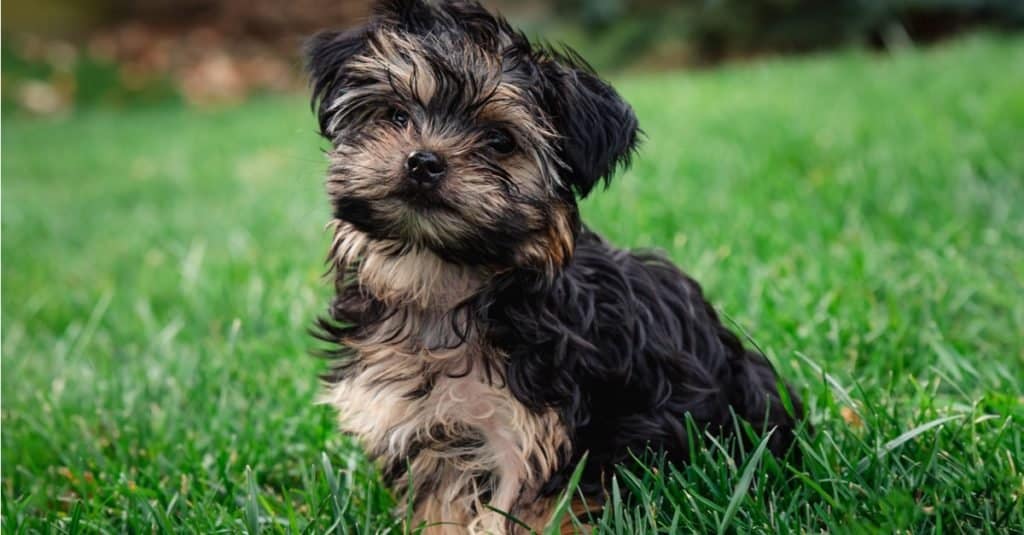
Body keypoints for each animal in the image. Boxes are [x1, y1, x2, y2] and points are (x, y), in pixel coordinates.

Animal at [307, 2, 802, 528]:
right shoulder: (433, 431)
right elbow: (442, 508)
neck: (447, 281)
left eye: (500, 140)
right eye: (395, 114)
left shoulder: (544, 436)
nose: (423, 161)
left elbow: (533, 513)